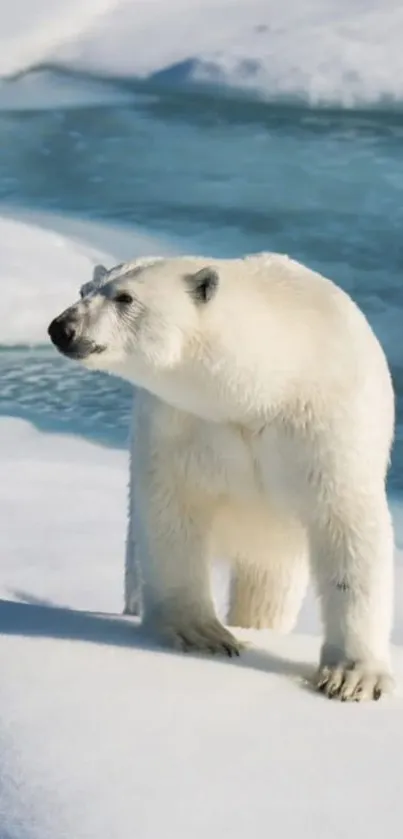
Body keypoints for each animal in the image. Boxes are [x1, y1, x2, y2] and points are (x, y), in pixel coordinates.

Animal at [48, 253, 398, 700]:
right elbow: (171, 510)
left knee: (268, 588)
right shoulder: (180, 422)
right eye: (83, 290)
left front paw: (352, 677)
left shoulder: (329, 423)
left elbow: (347, 525)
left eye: (125, 297)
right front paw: (203, 634)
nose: (63, 328)